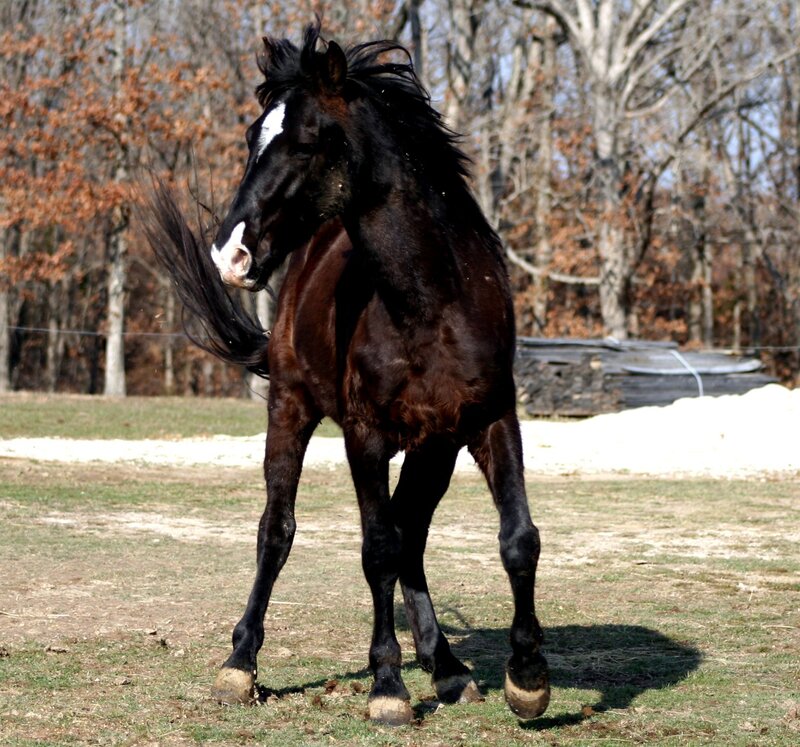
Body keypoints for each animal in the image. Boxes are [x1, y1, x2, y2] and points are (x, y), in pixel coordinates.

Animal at [146, 24, 550, 725]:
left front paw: (526, 677)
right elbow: (375, 549)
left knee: (413, 536)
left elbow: (517, 538)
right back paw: (240, 664)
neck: (432, 302)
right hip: (291, 409)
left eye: (308, 140)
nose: (230, 254)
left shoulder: (490, 419)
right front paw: (387, 686)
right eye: (252, 136)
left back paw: (447, 668)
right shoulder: (366, 436)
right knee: (277, 531)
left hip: (434, 450)